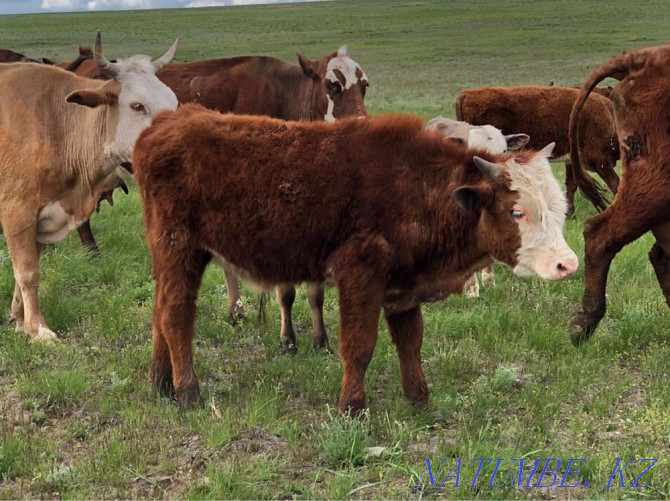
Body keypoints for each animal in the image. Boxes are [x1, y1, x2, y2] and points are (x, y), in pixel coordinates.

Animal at [0, 31, 180, 342]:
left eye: (174, 102)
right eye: (137, 105)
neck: (56, 124)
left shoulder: (43, 214)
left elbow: (24, 270)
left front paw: (20, 320)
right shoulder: (17, 211)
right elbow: (27, 272)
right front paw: (38, 328)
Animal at [456, 85, 620, 214]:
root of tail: (466, 94)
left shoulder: (572, 160)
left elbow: (571, 185)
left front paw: (570, 214)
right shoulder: (600, 160)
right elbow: (615, 183)